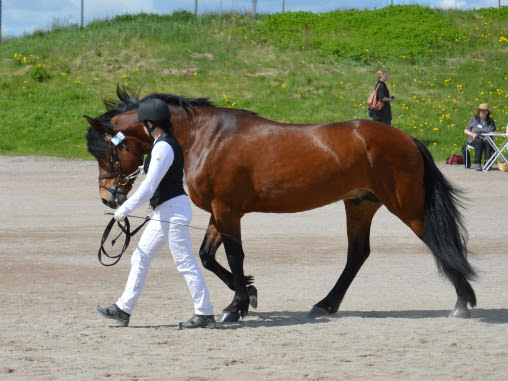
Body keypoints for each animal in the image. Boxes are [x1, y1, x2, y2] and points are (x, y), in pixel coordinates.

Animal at [84, 85, 476, 320]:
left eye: (107, 152)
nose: (109, 197)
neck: (205, 138)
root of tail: (406, 138)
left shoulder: (227, 209)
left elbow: (234, 255)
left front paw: (236, 306)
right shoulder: (219, 211)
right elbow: (208, 257)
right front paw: (248, 292)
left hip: (407, 207)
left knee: (440, 243)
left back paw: (463, 302)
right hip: (360, 205)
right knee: (357, 254)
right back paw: (325, 304)